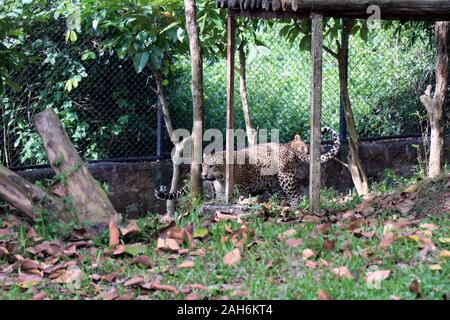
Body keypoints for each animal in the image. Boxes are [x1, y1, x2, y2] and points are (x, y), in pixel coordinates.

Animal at [155, 127, 342, 208]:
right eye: (205, 166)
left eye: (213, 166)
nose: (204, 175)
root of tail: (287, 147)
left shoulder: (242, 189)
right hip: (274, 183)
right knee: (281, 195)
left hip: (285, 177)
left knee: (294, 194)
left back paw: (295, 207)